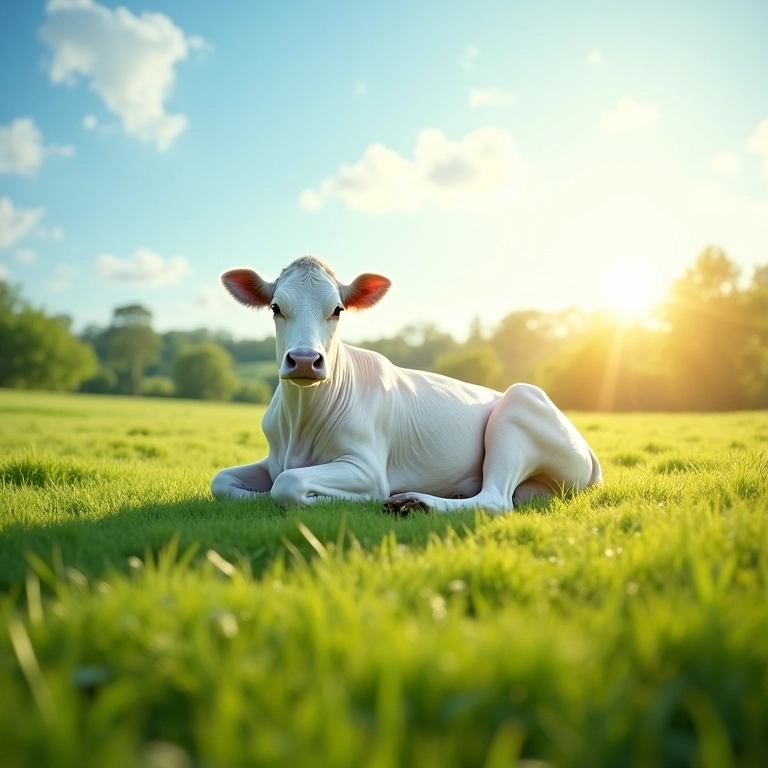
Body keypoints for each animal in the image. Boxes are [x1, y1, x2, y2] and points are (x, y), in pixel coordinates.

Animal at [211, 255, 602, 514]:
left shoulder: (366, 466)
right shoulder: (273, 459)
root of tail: (588, 451)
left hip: (520, 405)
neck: (300, 421)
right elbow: (222, 481)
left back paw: (412, 502)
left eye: (337, 309)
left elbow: (289, 483)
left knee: (495, 500)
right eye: (275, 307)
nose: (306, 359)